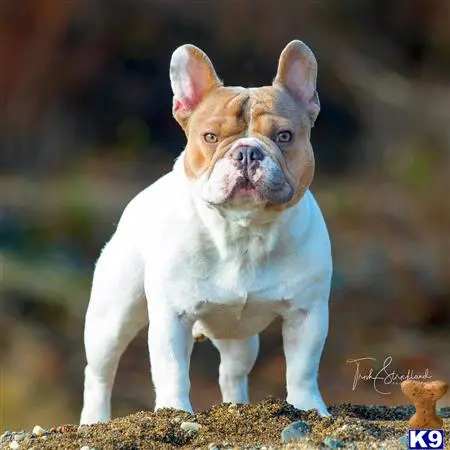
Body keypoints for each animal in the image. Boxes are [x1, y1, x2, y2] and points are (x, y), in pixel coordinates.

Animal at [81, 39, 332, 426]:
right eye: (211, 137)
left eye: (284, 136)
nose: (247, 152)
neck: (243, 232)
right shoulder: (172, 317)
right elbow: (171, 370)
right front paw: (173, 412)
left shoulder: (308, 314)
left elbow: (303, 369)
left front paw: (308, 408)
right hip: (112, 318)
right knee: (99, 372)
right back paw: (93, 420)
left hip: (240, 336)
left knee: (232, 372)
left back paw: (237, 408)